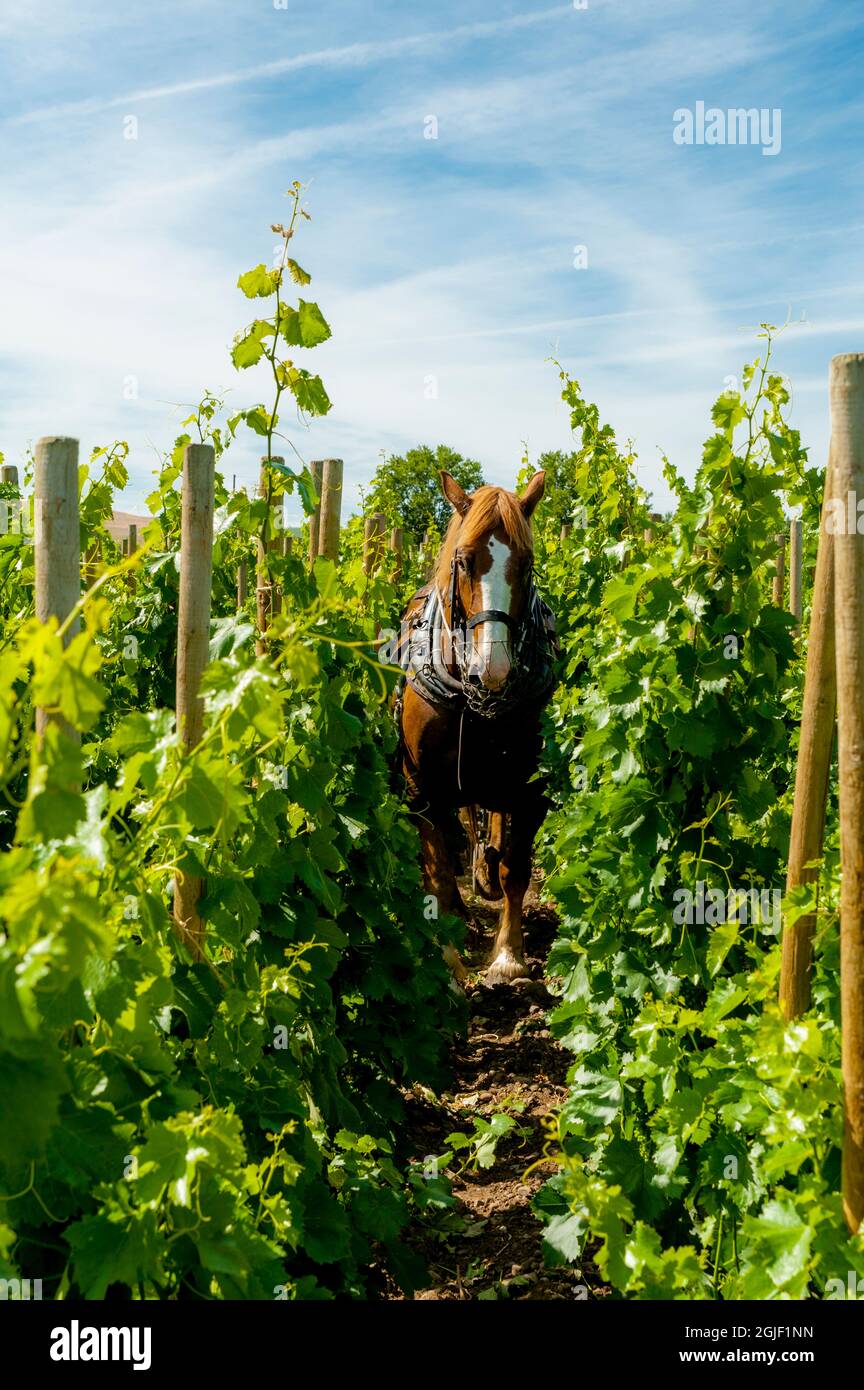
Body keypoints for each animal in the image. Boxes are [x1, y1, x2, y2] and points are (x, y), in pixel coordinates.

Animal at [391, 472, 558, 984]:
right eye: (463, 561)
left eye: (527, 563)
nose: (494, 669)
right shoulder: (421, 788)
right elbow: (439, 873)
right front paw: (447, 956)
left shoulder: (531, 787)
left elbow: (516, 869)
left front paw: (508, 956)